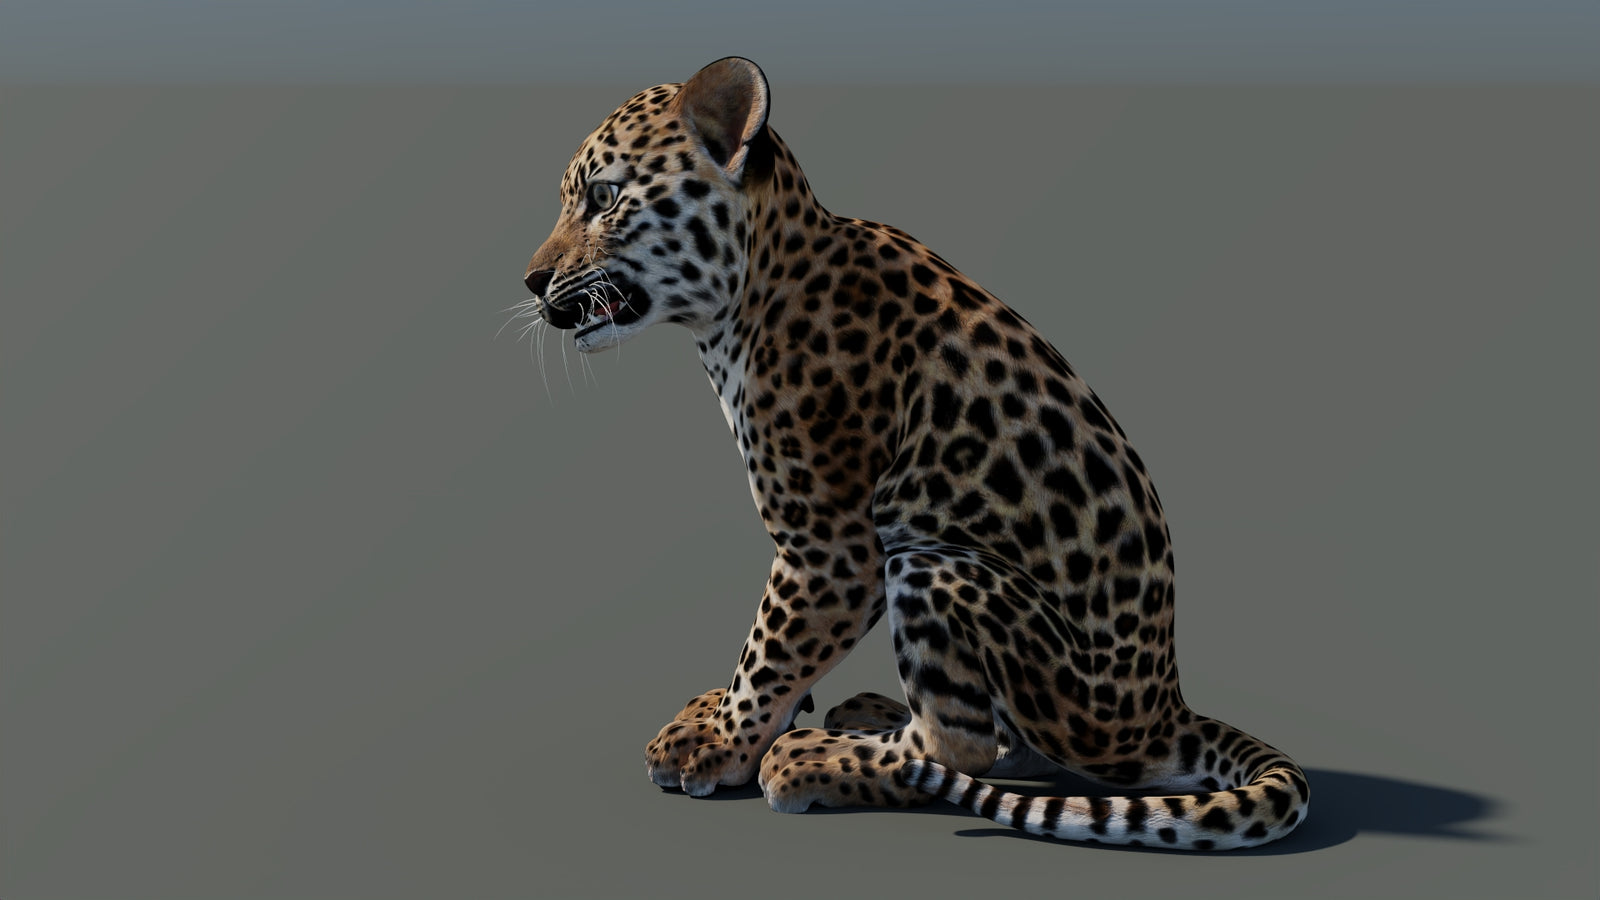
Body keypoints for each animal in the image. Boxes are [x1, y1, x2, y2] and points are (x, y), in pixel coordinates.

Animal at [516, 57, 1308, 850]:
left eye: (604, 198)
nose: (530, 280)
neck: (744, 300)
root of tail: (1165, 707)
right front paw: (715, 723)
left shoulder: (830, 547)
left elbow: (769, 648)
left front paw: (723, 743)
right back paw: (864, 713)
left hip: (934, 564)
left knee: (962, 745)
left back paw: (815, 759)